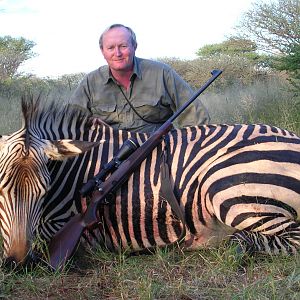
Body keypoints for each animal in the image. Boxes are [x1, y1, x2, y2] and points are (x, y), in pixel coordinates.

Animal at [0, 96, 298, 268]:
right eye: (1, 190)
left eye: (43, 191)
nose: (17, 261)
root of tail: (291, 136)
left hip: (225, 187)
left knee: (290, 238)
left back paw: (235, 246)